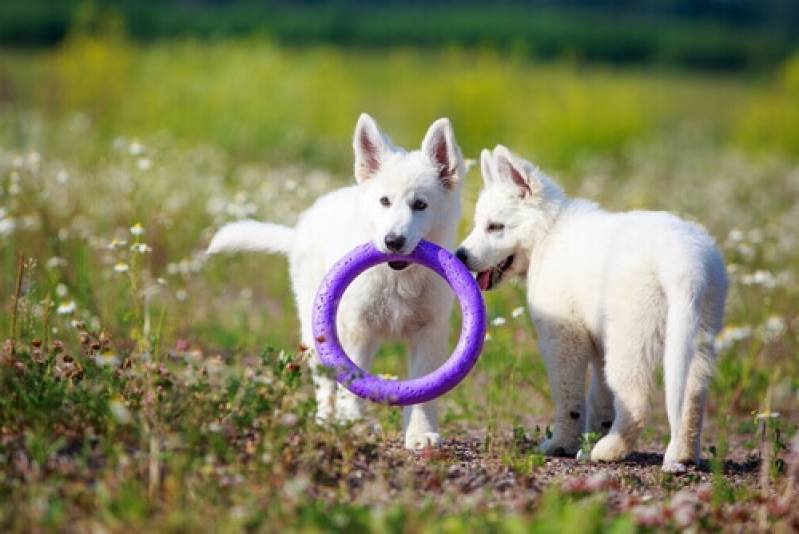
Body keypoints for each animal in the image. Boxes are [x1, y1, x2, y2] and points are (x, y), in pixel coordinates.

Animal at [208, 114, 468, 452]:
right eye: (384, 201)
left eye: (420, 205)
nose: (393, 241)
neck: (398, 278)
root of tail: (299, 230)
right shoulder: (356, 329)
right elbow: (351, 382)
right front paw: (352, 424)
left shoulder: (429, 330)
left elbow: (424, 389)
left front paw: (420, 433)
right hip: (316, 330)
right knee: (324, 384)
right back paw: (326, 421)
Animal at [456, 147, 724, 474]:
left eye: (495, 226)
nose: (459, 255)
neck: (549, 232)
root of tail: (683, 264)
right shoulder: (597, 343)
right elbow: (600, 397)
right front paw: (589, 438)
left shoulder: (562, 338)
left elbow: (569, 397)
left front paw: (563, 444)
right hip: (697, 336)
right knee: (692, 398)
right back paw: (682, 454)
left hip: (629, 337)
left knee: (636, 400)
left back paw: (609, 450)